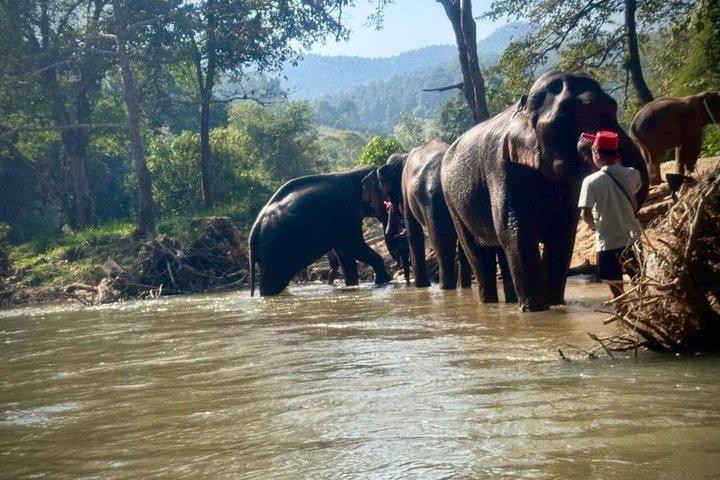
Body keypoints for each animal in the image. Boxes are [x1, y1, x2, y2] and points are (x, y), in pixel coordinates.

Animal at [249, 165, 391, 296]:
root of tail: (254, 229)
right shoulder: (345, 212)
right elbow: (351, 247)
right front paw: (383, 282)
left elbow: (345, 254)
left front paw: (353, 286)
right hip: (274, 250)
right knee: (273, 282)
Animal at [376, 139, 472, 290]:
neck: (404, 155)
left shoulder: (405, 189)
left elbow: (413, 231)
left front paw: (420, 286)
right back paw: (463, 287)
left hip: (432, 200)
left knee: (441, 242)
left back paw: (445, 287)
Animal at [441, 71, 649, 312]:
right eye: (570, 116)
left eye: (612, 107)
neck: (524, 108)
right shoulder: (502, 168)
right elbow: (516, 231)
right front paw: (535, 311)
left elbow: (562, 233)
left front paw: (555, 305)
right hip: (452, 203)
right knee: (478, 254)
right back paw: (491, 303)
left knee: (501, 250)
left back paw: (511, 301)